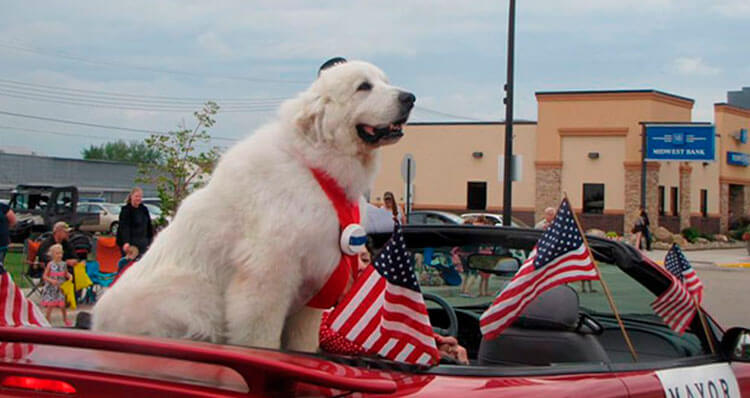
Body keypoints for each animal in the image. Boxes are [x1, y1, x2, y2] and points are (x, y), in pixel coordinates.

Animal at [93, 59, 418, 352]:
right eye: (363, 86)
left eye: (385, 81)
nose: (410, 97)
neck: (314, 165)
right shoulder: (267, 275)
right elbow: (261, 336)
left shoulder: (318, 282)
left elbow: (304, 341)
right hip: (194, 296)